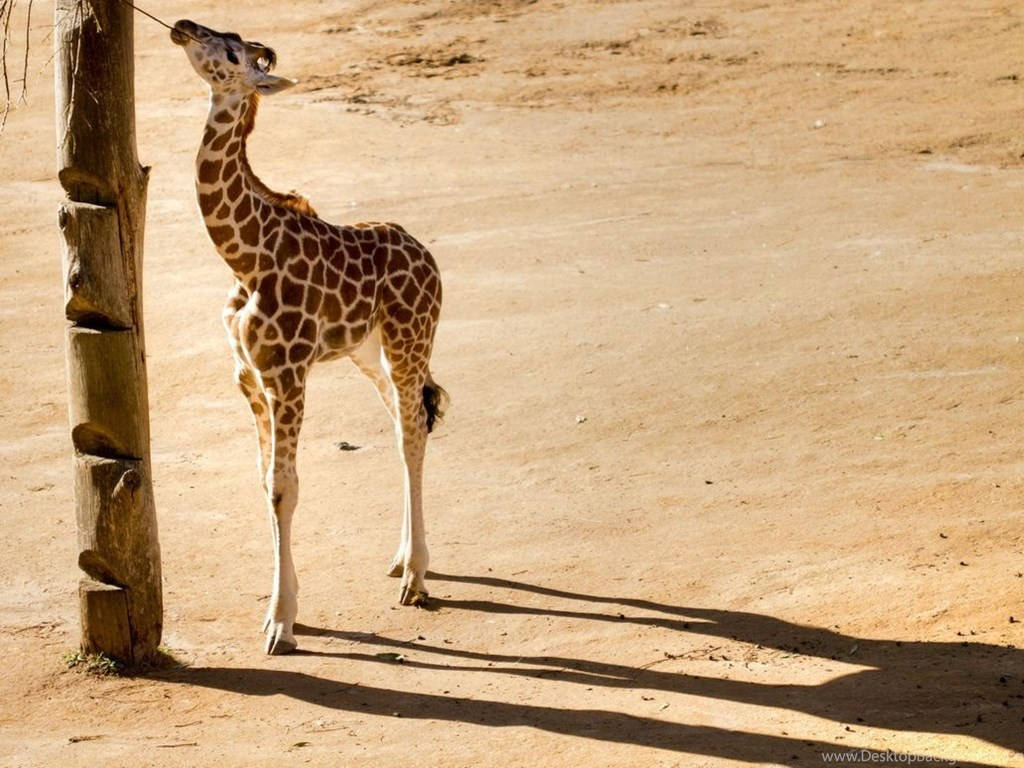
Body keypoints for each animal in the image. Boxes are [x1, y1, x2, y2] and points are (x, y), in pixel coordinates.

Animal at [171, 19, 447, 655]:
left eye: (231, 52)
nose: (183, 27)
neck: (245, 257)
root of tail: (427, 257)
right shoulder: (247, 376)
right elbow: (264, 482)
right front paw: (279, 611)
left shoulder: (288, 372)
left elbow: (284, 488)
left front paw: (283, 623)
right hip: (369, 352)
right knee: (404, 423)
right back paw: (401, 560)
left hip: (410, 340)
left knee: (413, 434)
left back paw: (417, 578)